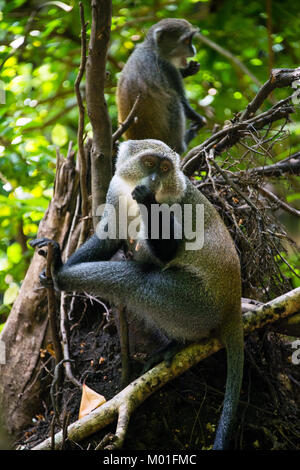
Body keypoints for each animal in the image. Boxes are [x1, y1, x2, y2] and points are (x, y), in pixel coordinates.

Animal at [116, 18, 206, 154]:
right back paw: (182, 144)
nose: (193, 49)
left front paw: (188, 70)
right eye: (186, 41)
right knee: (175, 100)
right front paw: (199, 119)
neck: (152, 48)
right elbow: (183, 102)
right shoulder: (167, 67)